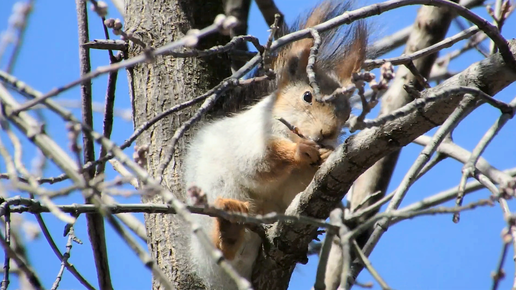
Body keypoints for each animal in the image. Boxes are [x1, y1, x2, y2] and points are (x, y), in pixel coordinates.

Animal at [183, 1, 368, 288]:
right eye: (307, 96)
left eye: (347, 113)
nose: (327, 133)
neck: (291, 133)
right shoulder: (250, 138)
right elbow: (259, 165)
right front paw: (300, 152)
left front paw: (326, 155)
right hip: (218, 193)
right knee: (225, 249)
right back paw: (229, 227)